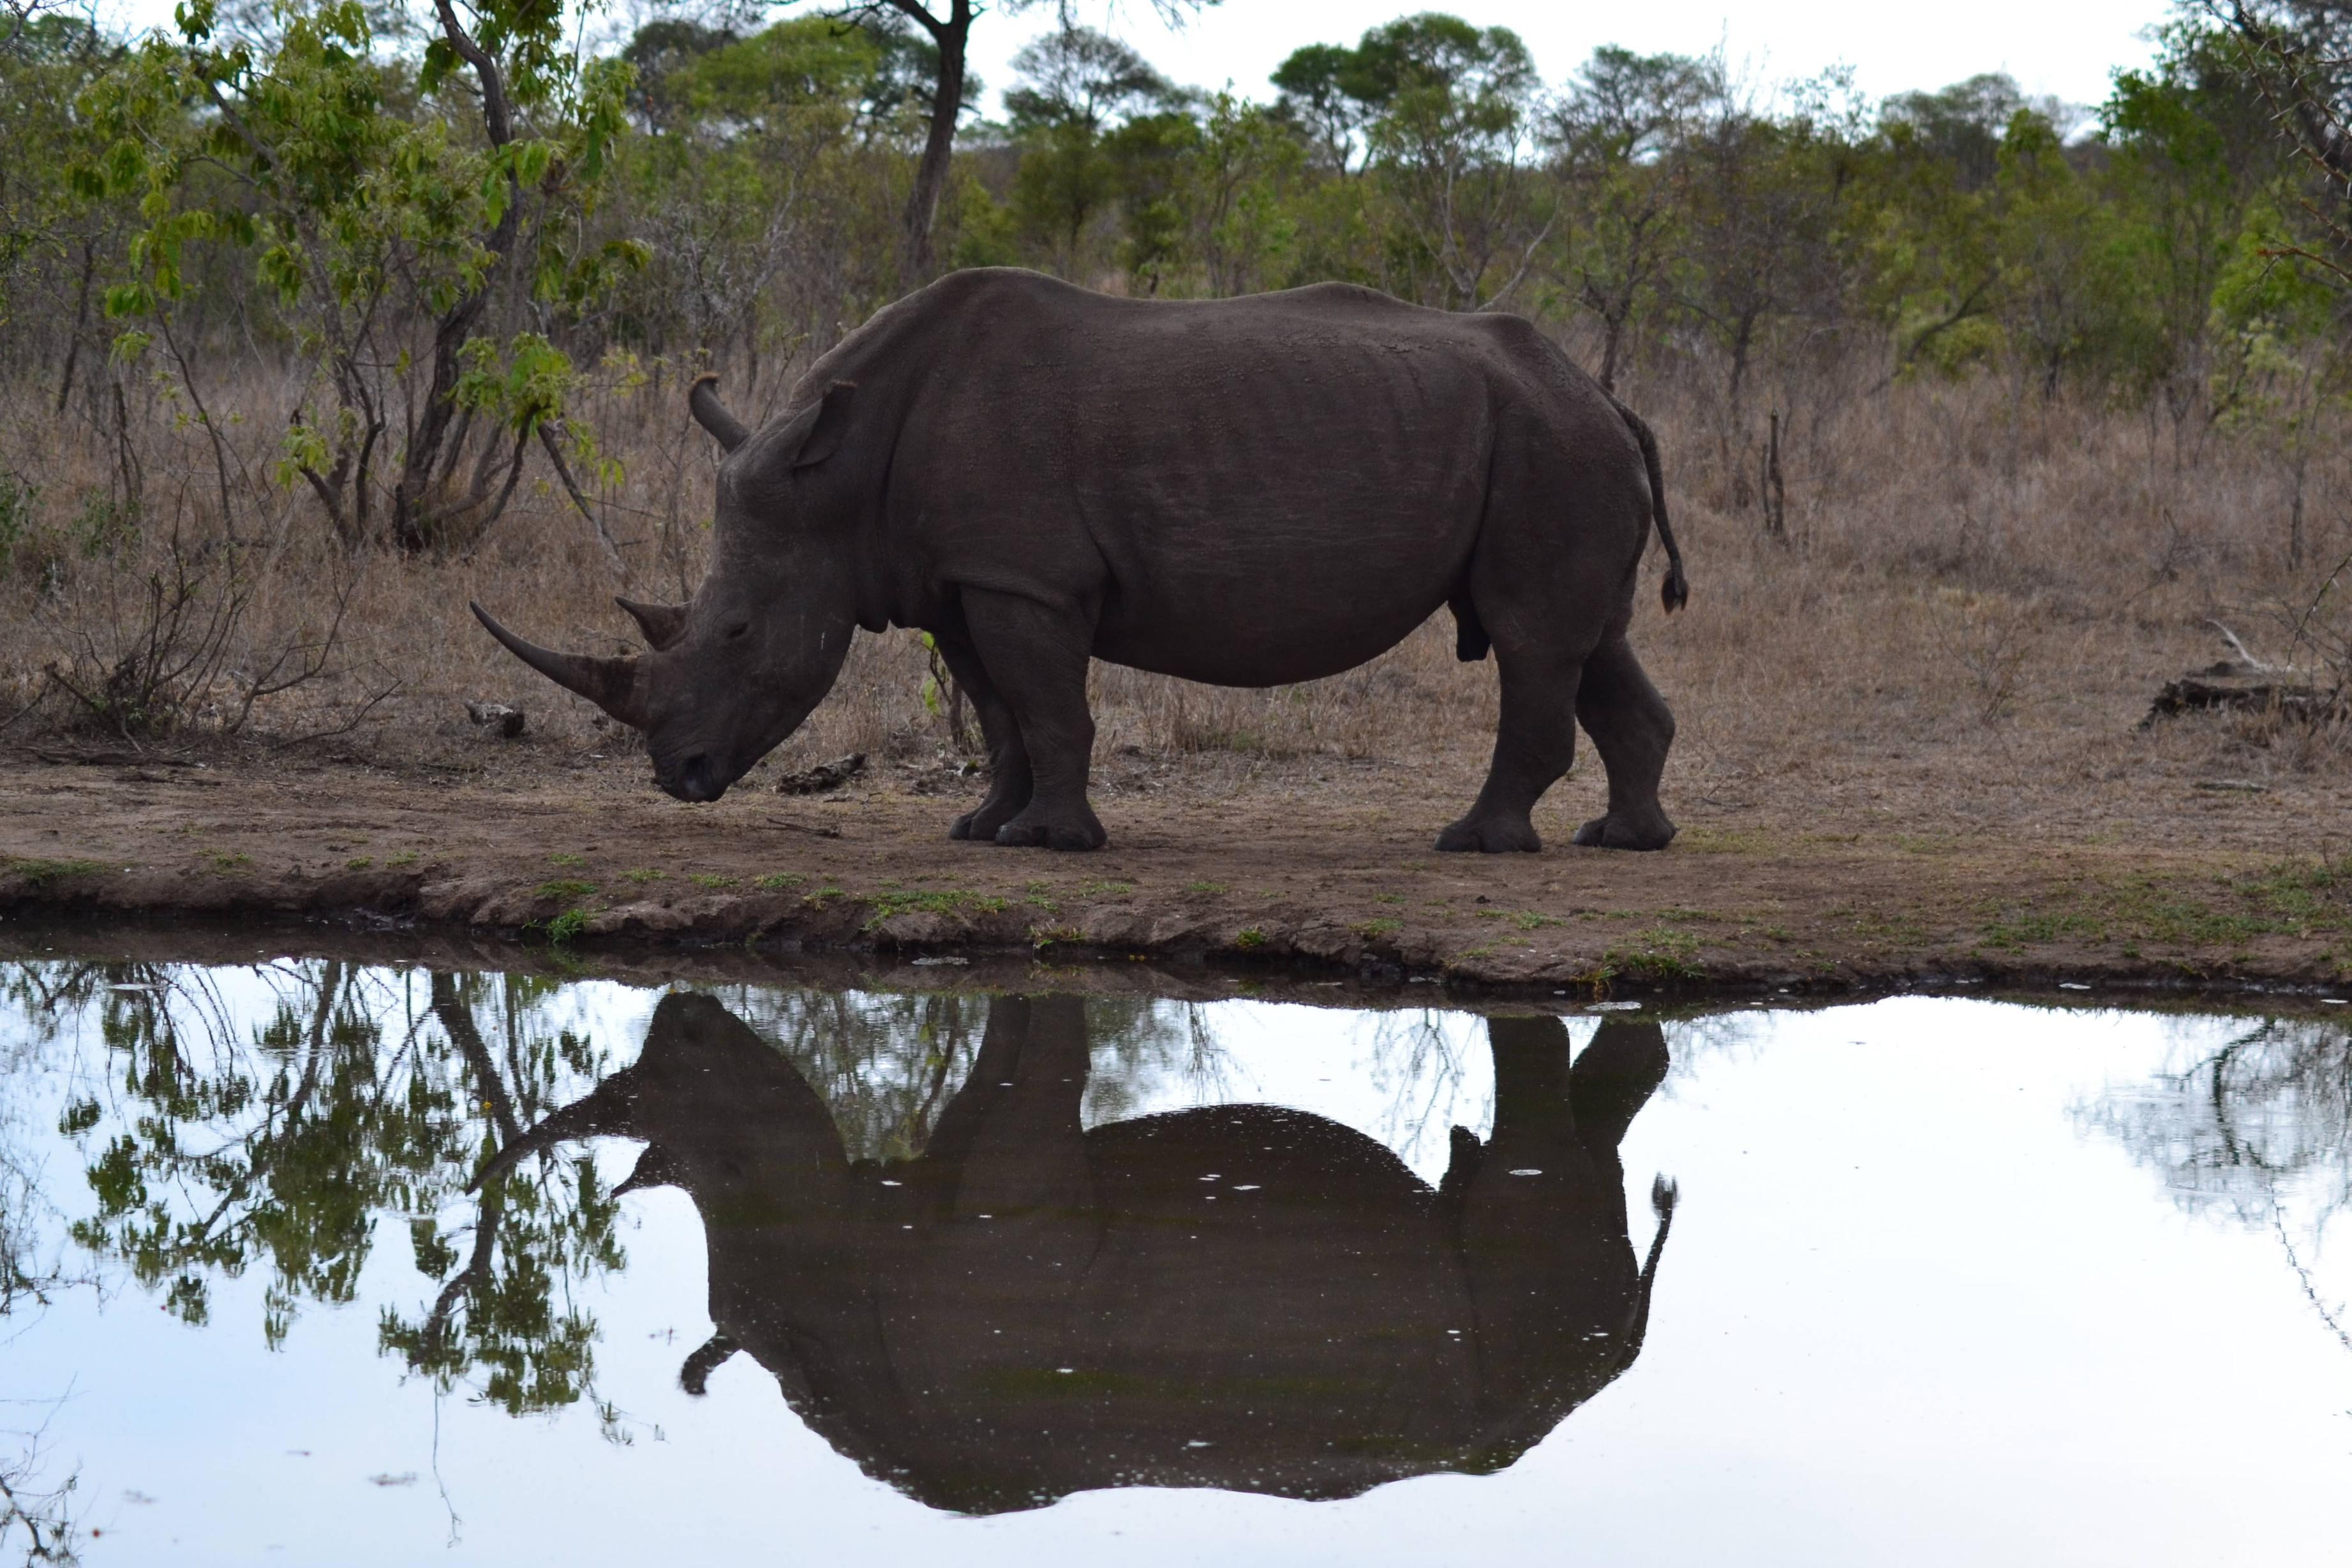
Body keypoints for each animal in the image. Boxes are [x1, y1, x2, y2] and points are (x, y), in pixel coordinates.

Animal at [473, 267, 1688, 853]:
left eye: (732, 631)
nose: (675, 778)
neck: (842, 474)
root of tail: (1609, 398)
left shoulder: (1026, 577)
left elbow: (1050, 706)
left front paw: (1054, 843)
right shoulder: (960, 578)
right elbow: (999, 709)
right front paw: (981, 831)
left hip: (1545, 446)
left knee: (1531, 638)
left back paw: (1475, 847)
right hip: (1554, 442)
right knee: (1593, 640)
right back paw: (1623, 841)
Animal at [479, 990, 1679, 1514]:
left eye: (726, 1166)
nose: (684, 1008)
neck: (819, 1296)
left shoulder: (1018, 1192)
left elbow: (1040, 1061)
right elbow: (1006, 1047)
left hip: (1518, 1342)